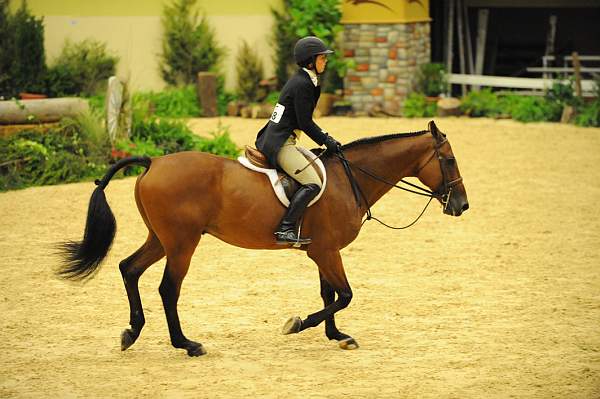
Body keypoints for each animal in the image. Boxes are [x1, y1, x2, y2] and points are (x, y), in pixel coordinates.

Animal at [57, 120, 468, 358]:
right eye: (448, 161)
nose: (461, 205)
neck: (347, 179)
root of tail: (153, 162)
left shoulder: (322, 251)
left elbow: (330, 294)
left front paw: (336, 335)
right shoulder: (326, 251)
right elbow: (345, 295)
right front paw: (298, 324)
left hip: (161, 239)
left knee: (129, 269)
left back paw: (132, 332)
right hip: (181, 244)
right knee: (168, 289)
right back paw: (187, 344)